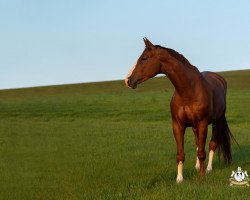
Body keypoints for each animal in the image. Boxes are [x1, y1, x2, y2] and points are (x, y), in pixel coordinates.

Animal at [125, 37, 234, 183]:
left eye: (144, 58)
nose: (127, 80)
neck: (188, 91)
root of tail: (219, 79)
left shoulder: (202, 124)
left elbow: (202, 152)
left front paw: (201, 176)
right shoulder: (177, 125)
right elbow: (181, 154)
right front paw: (179, 179)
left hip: (218, 121)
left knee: (212, 144)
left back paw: (209, 169)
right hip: (194, 127)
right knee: (198, 143)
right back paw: (197, 166)